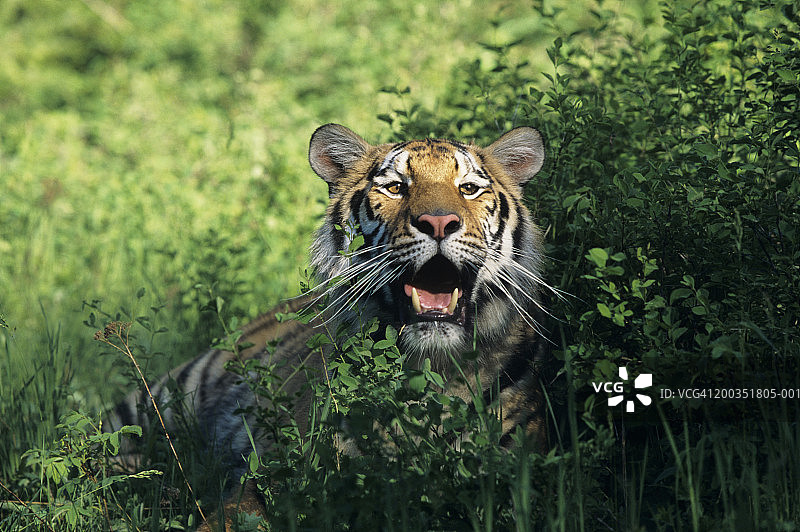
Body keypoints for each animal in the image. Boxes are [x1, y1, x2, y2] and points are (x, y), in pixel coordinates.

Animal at [107, 123, 551, 529]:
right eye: (395, 187)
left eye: (469, 188)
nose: (439, 222)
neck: (431, 369)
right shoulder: (277, 473)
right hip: (160, 397)